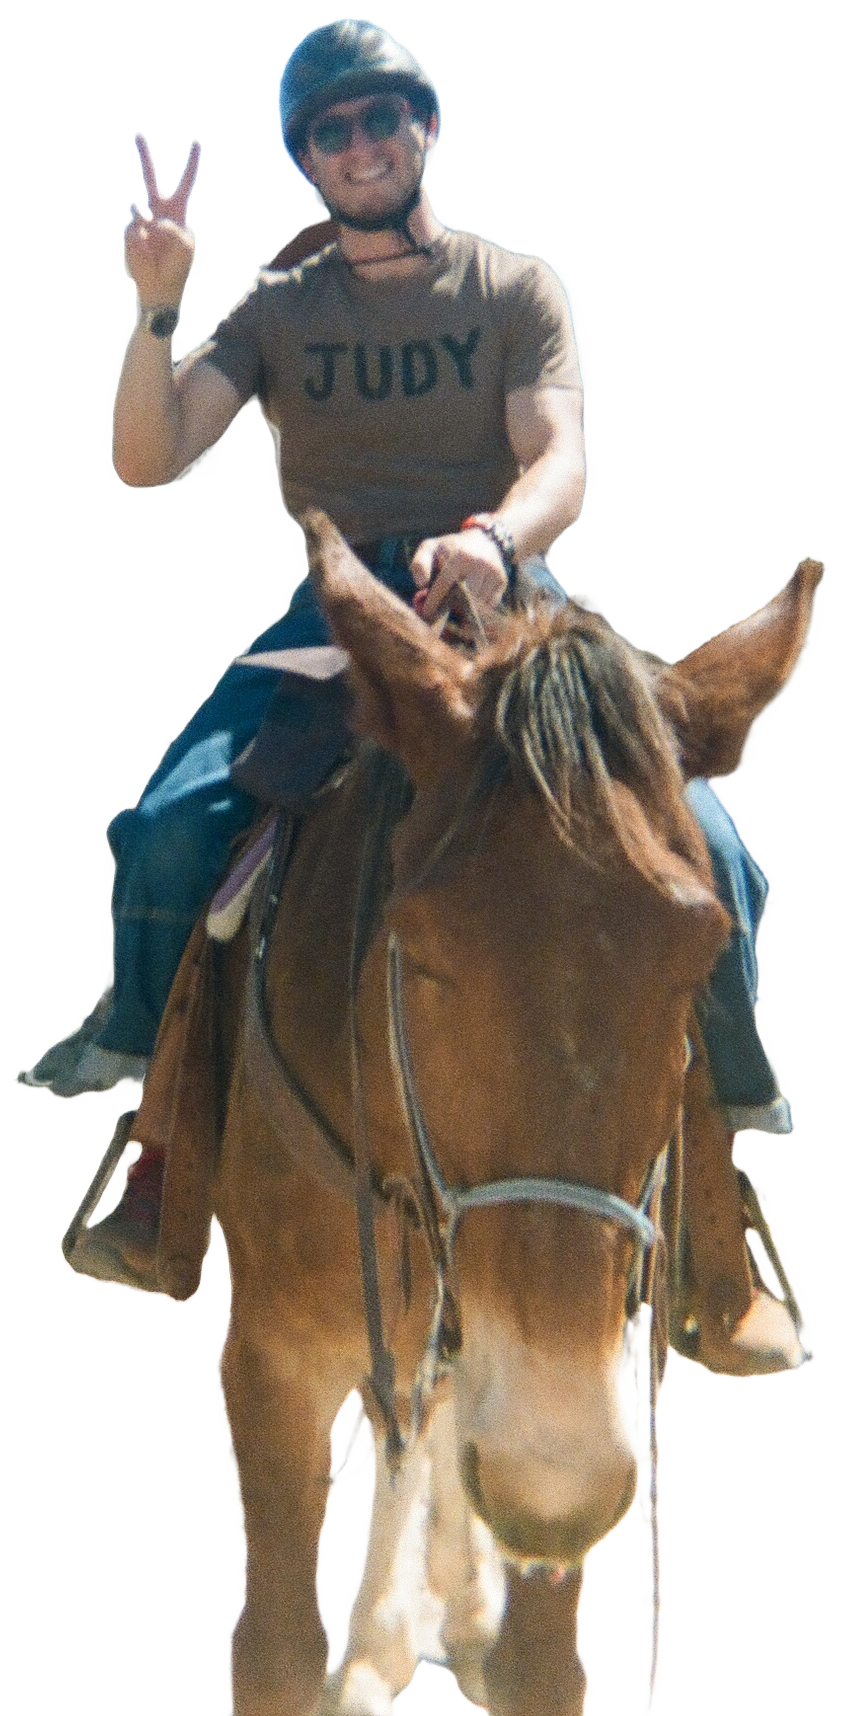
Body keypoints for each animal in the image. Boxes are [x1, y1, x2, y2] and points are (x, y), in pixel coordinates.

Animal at [212, 513, 821, 1716]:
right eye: (418, 951)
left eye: (702, 955)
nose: (553, 1471)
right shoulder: (272, 1362)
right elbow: (275, 1649)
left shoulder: (597, 1372)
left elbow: (545, 1662)